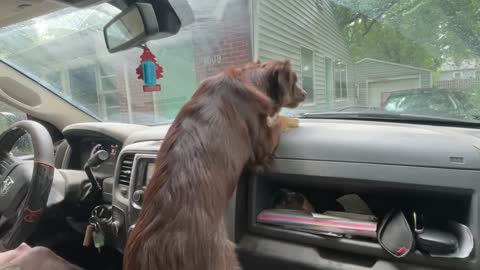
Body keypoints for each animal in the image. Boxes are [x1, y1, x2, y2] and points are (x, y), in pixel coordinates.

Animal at [122, 60, 306, 268]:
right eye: (295, 80)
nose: (306, 93)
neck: (250, 77)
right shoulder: (262, 144)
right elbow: (277, 122)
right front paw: (291, 119)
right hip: (225, 256)